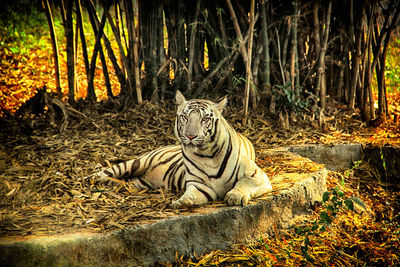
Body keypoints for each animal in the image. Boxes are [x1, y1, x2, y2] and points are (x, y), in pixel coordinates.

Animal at [95, 91, 274, 208]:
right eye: (185, 117)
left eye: (204, 119)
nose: (190, 136)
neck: (208, 156)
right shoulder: (200, 185)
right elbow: (191, 194)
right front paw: (181, 201)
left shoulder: (257, 175)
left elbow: (243, 183)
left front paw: (235, 196)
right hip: (137, 163)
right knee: (109, 172)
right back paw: (96, 179)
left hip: (139, 181)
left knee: (126, 181)